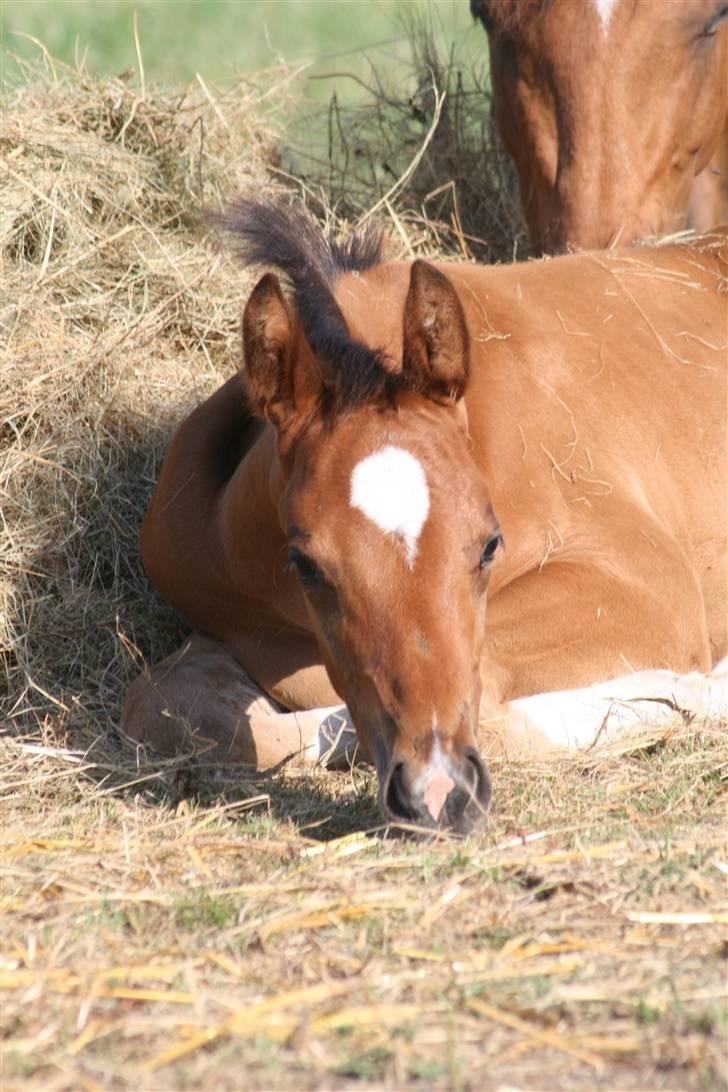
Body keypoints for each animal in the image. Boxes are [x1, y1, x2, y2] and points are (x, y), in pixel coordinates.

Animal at [122, 203, 724, 834]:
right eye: (305, 565)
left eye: (489, 545)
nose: (438, 792)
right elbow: (163, 706)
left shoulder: (648, 584)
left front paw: (679, 695)